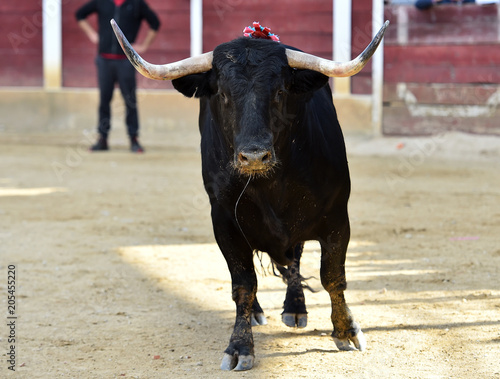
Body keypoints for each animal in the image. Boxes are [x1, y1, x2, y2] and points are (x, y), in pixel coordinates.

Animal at [111, 20, 388, 372]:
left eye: (280, 92)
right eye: (223, 94)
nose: (254, 155)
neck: (272, 185)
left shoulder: (338, 218)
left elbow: (332, 277)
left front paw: (346, 331)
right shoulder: (224, 223)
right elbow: (243, 285)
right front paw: (240, 346)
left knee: (295, 260)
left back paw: (295, 308)